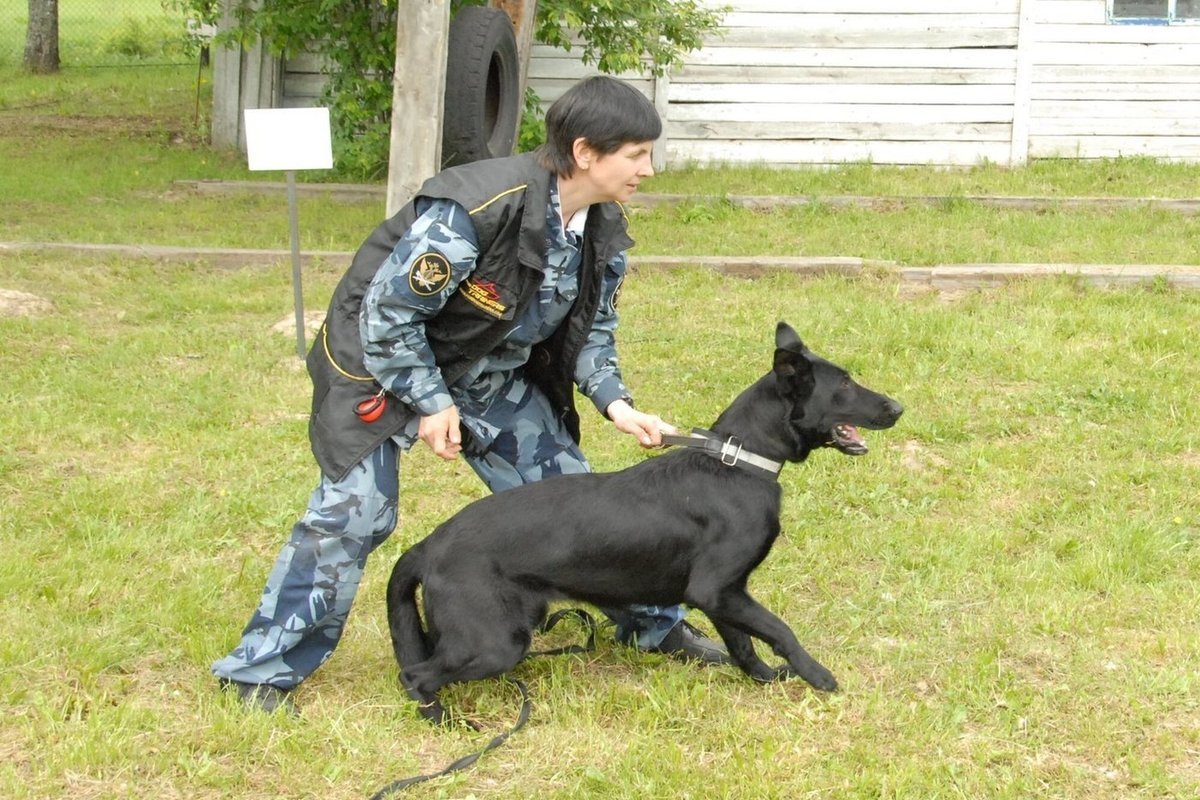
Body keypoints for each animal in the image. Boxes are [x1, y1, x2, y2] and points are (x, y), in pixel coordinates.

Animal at [384, 321, 902, 724]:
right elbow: (779, 630)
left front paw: (767, 680)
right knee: (414, 674)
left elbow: (744, 645)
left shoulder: (725, 596)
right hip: (497, 642)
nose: (898, 408)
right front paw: (816, 674)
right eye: (845, 385)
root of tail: (429, 544)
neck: (738, 460)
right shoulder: (719, 590)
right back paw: (444, 720)